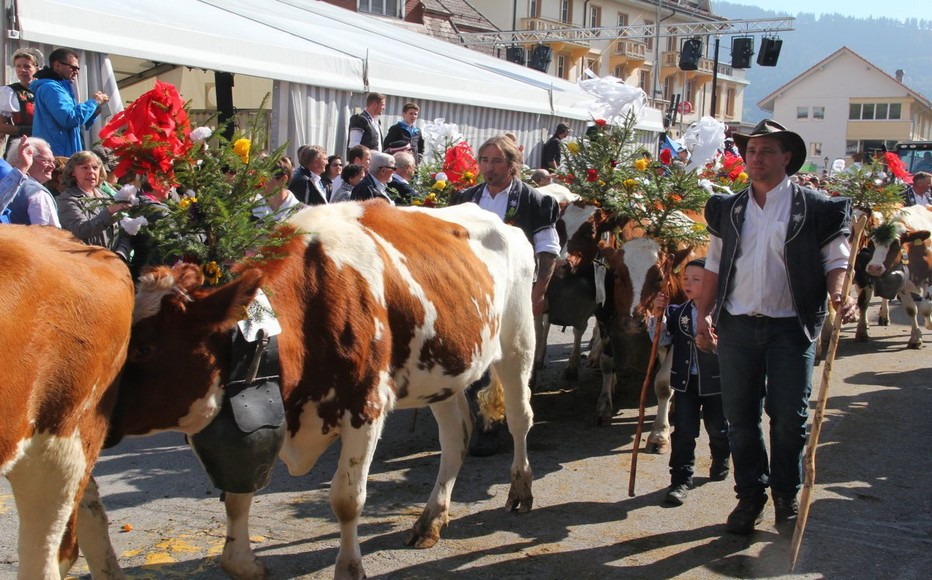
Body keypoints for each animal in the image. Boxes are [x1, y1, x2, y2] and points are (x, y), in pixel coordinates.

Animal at [104, 203, 536, 580]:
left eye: (144, 349)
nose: (89, 405)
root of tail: (502, 221)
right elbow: (238, 493)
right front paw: (242, 562)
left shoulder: (367, 406)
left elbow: (346, 500)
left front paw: (349, 569)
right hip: (442, 374)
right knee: (456, 435)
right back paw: (431, 520)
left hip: (517, 341)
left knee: (520, 419)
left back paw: (520, 490)